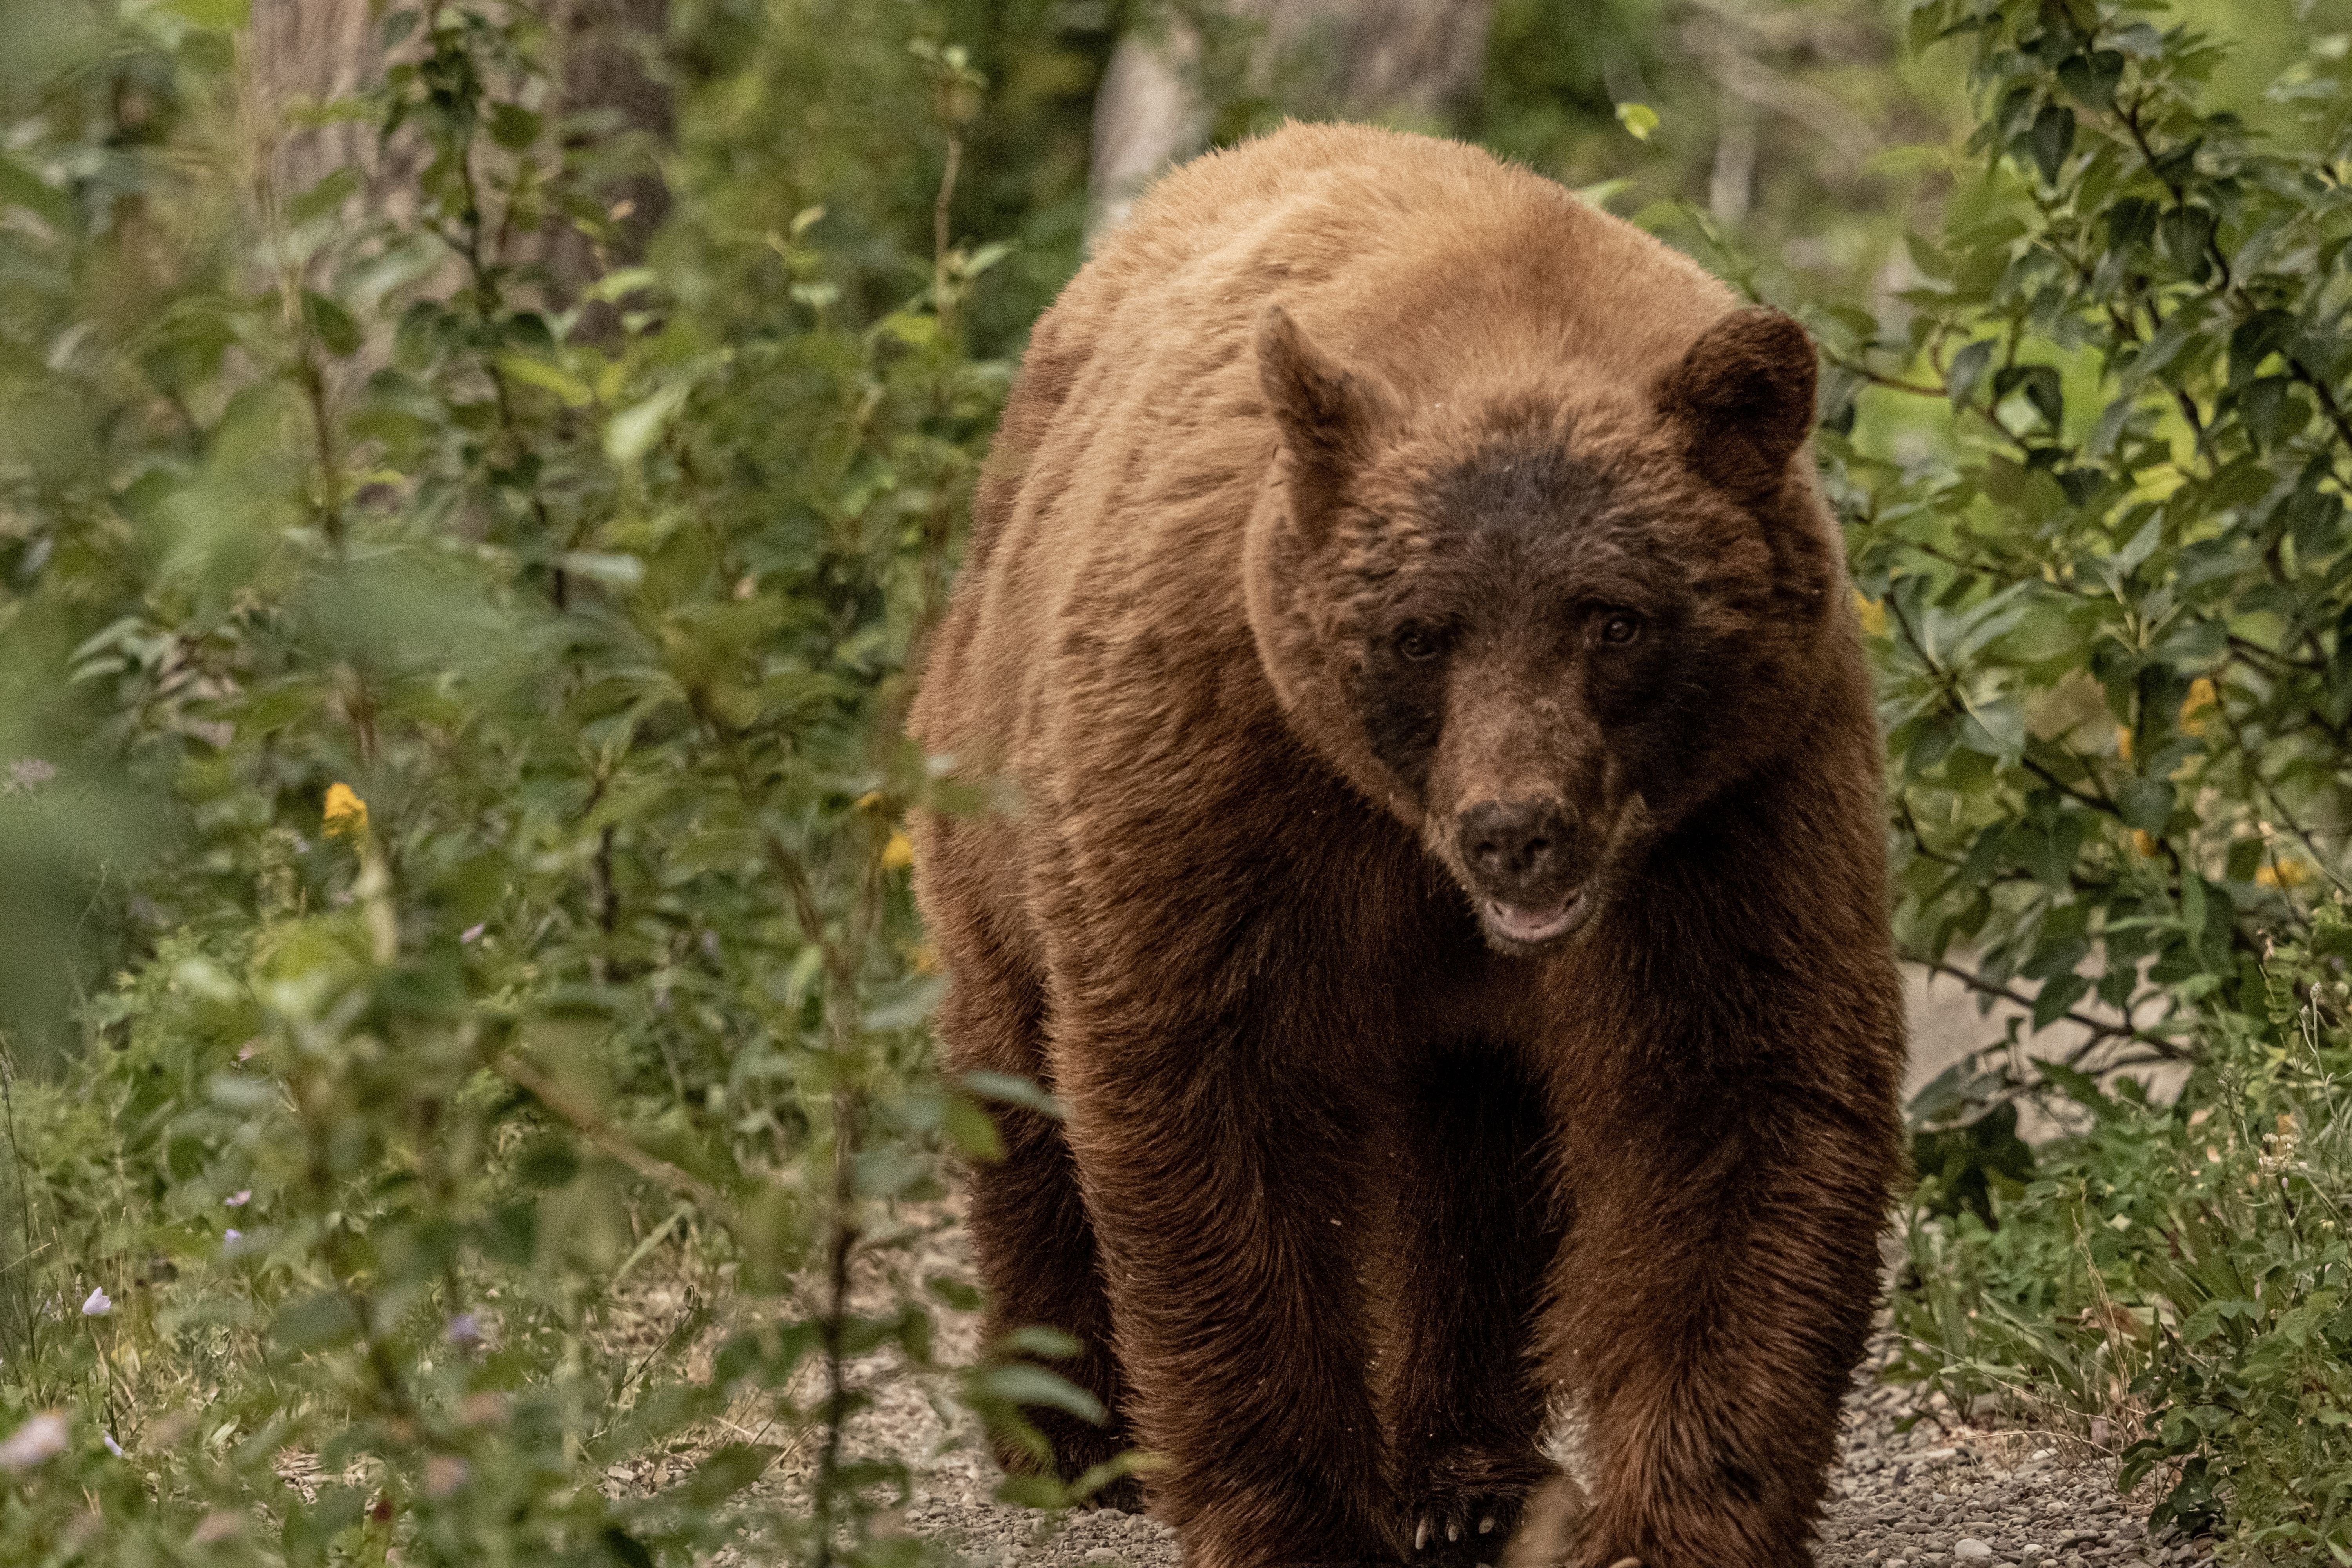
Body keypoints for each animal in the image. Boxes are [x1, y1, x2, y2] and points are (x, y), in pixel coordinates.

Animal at [909, 122, 1905, 1568]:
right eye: (1421, 631)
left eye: (1615, 618)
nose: (1516, 833)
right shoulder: (1226, 765)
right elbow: (1218, 1092)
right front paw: (1297, 1516)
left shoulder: (1739, 805)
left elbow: (1733, 1099)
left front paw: (1675, 1519)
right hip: (993, 769)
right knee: (1018, 1080)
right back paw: (1068, 1431)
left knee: (1468, 1166)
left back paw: (1464, 1473)